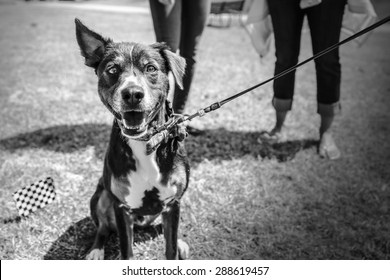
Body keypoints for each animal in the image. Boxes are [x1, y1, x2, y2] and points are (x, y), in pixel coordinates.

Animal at [75, 19, 190, 260]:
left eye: (151, 68)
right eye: (112, 69)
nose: (132, 94)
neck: (145, 142)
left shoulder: (173, 203)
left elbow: (170, 247)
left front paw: (176, 245)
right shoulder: (121, 207)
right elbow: (126, 249)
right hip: (101, 197)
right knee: (103, 227)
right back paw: (96, 250)